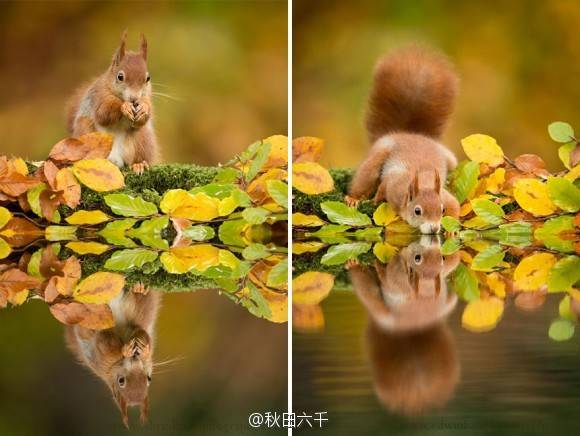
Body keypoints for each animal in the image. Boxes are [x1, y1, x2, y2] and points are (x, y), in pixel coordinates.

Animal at [65, 288, 161, 428]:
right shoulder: (102, 358)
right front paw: (125, 350)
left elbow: (142, 333)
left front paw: (144, 349)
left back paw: (139, 290)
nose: (136, 361)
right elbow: (106, 341)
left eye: (149, 379)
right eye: (121, 381)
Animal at [67, 31, 160, 172]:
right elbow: (103, 114)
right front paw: (124, 107)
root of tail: (115, 160)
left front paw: (143, 109)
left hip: (143, 140)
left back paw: (139, 164)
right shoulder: (99, 96)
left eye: (148, 78)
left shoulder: (147, 98)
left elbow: (143, 118)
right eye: (120, 77)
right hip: (84, 129)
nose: (134, 99)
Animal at [346, 46, 460, 233]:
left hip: (450, 159)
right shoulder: (394, 186)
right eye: (417, 211)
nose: (434, 229)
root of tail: (407, 133)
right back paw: (353, 198)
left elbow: (456, 205)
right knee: (365, 177)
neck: (423, 181)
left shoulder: (444, 196)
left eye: (442, 210)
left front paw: (452, 230)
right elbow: (382, 188)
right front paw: (375, 200)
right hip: (377, 156)